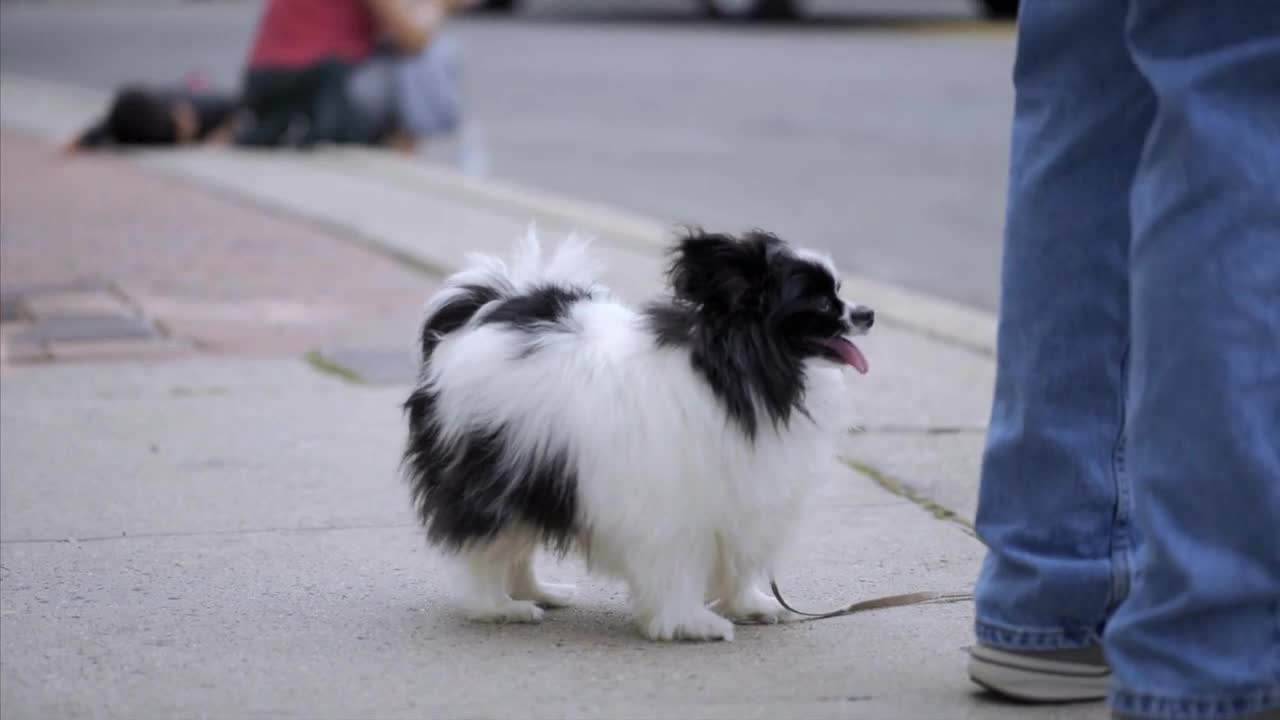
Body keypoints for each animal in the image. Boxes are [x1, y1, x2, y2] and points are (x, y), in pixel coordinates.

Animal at [404, 225, 875, 638]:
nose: (868, 314)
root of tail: (487, 308)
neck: (735, 377)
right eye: (820, 303)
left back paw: (539, 593)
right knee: (485, 544)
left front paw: (750, 605)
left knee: (518, 544)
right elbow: (679, 569)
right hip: (493, 473)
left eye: (837, 290)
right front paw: (690, 624)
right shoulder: (674, 511)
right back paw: (499, 607)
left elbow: (740, 564)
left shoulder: (743, 503)